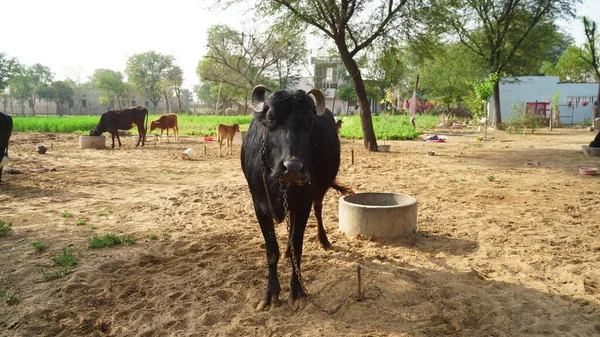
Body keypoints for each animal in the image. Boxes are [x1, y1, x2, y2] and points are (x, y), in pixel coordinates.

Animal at [240, 85, 352, 312]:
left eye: (309, 122)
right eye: (271, 118)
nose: (292, 168)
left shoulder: (303, 204)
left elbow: (298, 247)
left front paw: (297, 292)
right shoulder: (259, 206)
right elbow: (271, 252)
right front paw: (271, 295)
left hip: (318, 193)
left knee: (317, 211)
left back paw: (323, 240)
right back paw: (286, 250)